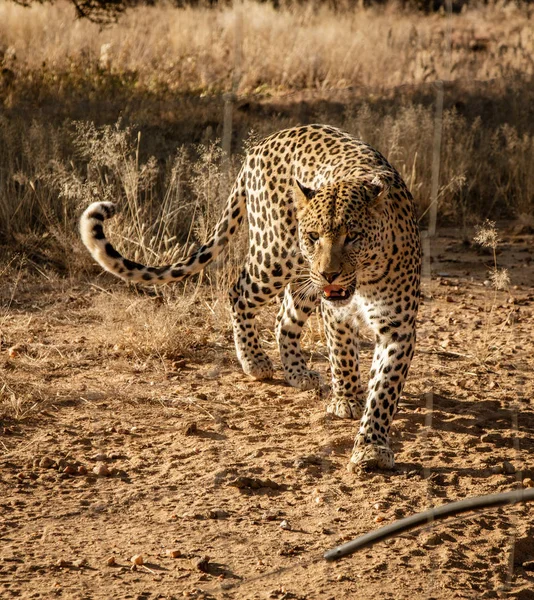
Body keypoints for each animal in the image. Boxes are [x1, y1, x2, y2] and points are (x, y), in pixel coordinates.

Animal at [79, 124, 422, 472]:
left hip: (297, 272)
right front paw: (348, 399)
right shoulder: (336, 311)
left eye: (353, 236)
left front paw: (372, 446)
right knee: (238, 292)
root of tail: (266, 141)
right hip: (275, 257)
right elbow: (343, 357)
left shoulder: (397, 326)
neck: (364, 279)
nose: (329, 274)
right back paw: (254, 361)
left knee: (285, 315)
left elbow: (384, 389)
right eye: (314, 236)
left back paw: (297, 372)